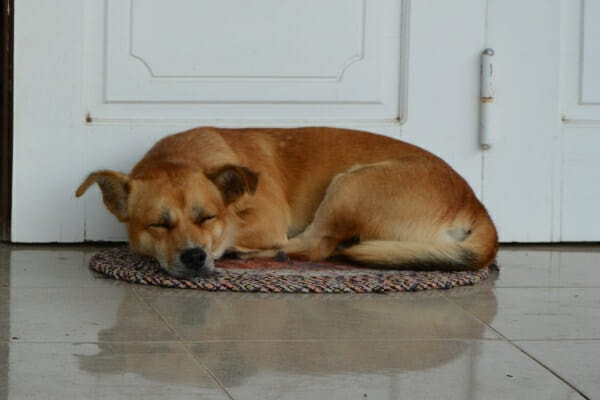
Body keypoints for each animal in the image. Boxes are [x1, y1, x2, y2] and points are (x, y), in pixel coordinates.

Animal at [76, 127, 496, 278]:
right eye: (158, 224)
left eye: (208, 217)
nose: (195, 257)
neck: (179, 158)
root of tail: (473, 201)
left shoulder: (266, 220)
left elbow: (236, 232)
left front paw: (231, 247)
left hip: (350, 184)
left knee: (318, 246)